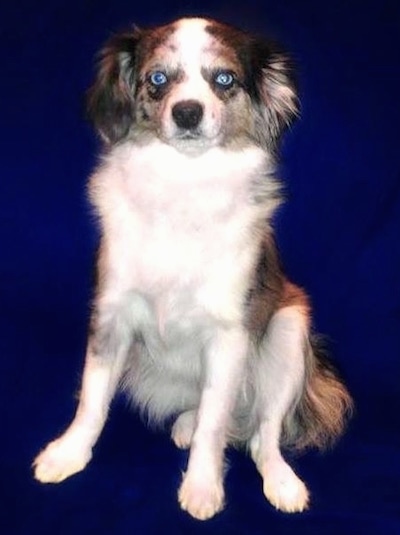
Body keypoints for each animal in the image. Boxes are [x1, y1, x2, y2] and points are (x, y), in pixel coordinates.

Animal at [34, 16, 354, 520]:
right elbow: (92, 398)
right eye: (158, 79)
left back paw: (282, 483)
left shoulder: (229, 334)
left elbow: (214, 425)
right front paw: (68, 454)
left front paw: (202, 488)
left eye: (223, 79)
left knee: (262, 431)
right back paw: (185, 421)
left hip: (289, 327)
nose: (187, 112)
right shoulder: (111, 314)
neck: (183, 182)